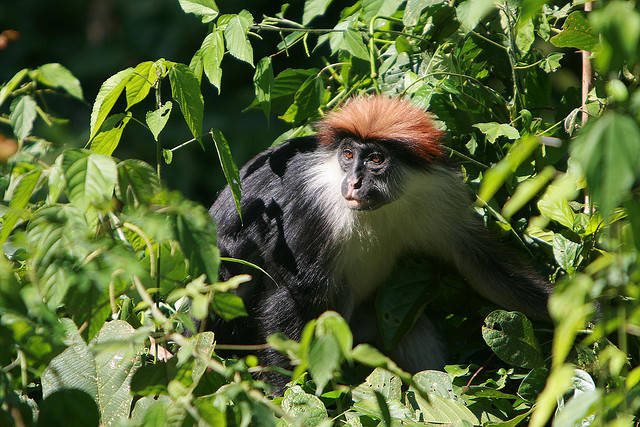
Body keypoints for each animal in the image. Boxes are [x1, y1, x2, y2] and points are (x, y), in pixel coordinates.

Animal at [209, 97, 552, 392]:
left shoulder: (440, 197)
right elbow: (291, 299)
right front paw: (288, 394)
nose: (353, 182)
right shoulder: (310, 207)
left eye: (375, 159)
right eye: (348, 155)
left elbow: (482, 264)